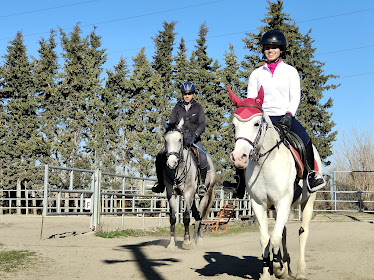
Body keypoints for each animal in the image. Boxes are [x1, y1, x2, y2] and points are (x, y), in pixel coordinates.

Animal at [164, 119, 216, 250]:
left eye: (179, 139)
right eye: (165, 139)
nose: (171, 163)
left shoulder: (188, 193)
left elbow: (186, 217)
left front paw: (186, 242)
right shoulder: (171, 194)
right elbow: (172, 218)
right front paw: (171, 244)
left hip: (203, 195)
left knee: (200, 216)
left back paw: (196, 240)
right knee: (197, 215)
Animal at [228, 87, 324, 280]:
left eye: (256, 123)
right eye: (234, 125)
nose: (239, 157)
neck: (265, 164)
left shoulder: (283, 202)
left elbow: (275, 238)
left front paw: (278, 267)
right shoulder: (259, 205)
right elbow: (266, 239)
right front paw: (268, 271)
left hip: (308, 201)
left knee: (302, 231)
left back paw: (300, 271)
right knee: (283, 232)